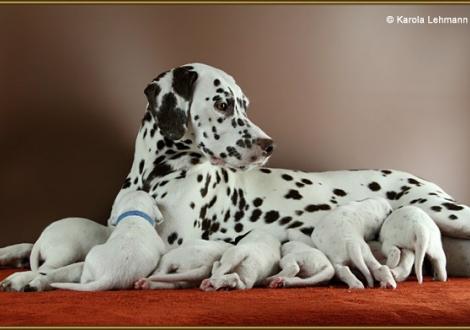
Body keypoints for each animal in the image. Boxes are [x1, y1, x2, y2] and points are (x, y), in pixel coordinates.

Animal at [0, 62, 470, 292]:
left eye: (244, 103)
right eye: (223, 103)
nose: (268, 144)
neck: (156, 175)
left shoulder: (170, 244)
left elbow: (76, 266)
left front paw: (31, 277)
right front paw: (16, 255)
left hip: (445, 211)